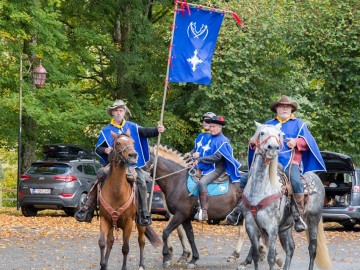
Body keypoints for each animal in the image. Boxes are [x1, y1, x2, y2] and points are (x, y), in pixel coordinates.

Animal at [97, 132, 161, 270]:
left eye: (133, 142)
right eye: (118, 143)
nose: (133, 155)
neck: (116, 192)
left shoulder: (128, 223)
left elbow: (125, 248)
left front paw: (124, 267)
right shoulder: (105, 219)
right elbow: (102, 243)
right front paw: (103, 265)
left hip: (141, 223)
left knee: (141, 241)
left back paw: (141, 265)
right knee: (110, 241)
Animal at [239, 122, 332, 270]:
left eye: (278, 135)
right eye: (262, 133)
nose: (273, 148)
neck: (260, 188)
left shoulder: (272, 227)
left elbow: (271, 257)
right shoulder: (251, 226)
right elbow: (255, 255)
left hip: (313, 220)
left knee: (312, 249)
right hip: (285, 227)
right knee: (290, 248)